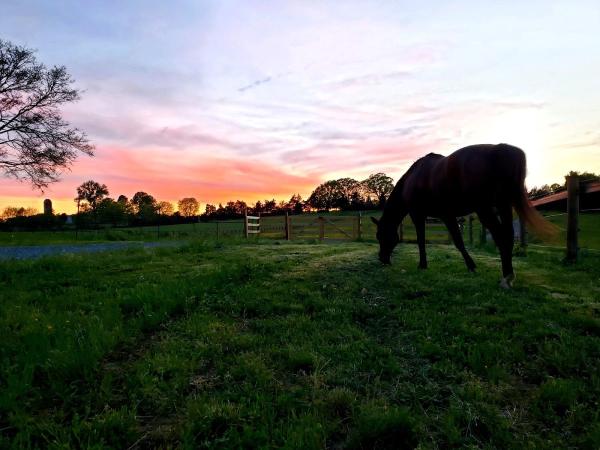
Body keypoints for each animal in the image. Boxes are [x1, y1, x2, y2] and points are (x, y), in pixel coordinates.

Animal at [372, 143, 556, 288]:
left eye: (380, 235)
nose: (382, 259)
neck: (412, 180)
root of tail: (501, 149)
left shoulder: (428, 216)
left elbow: (441, 241)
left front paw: (424, 265)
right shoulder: (444, 216)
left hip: (484, 209)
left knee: (500, 236)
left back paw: (506, 278)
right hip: (503, 205)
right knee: (508, 236)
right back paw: (508, 276)